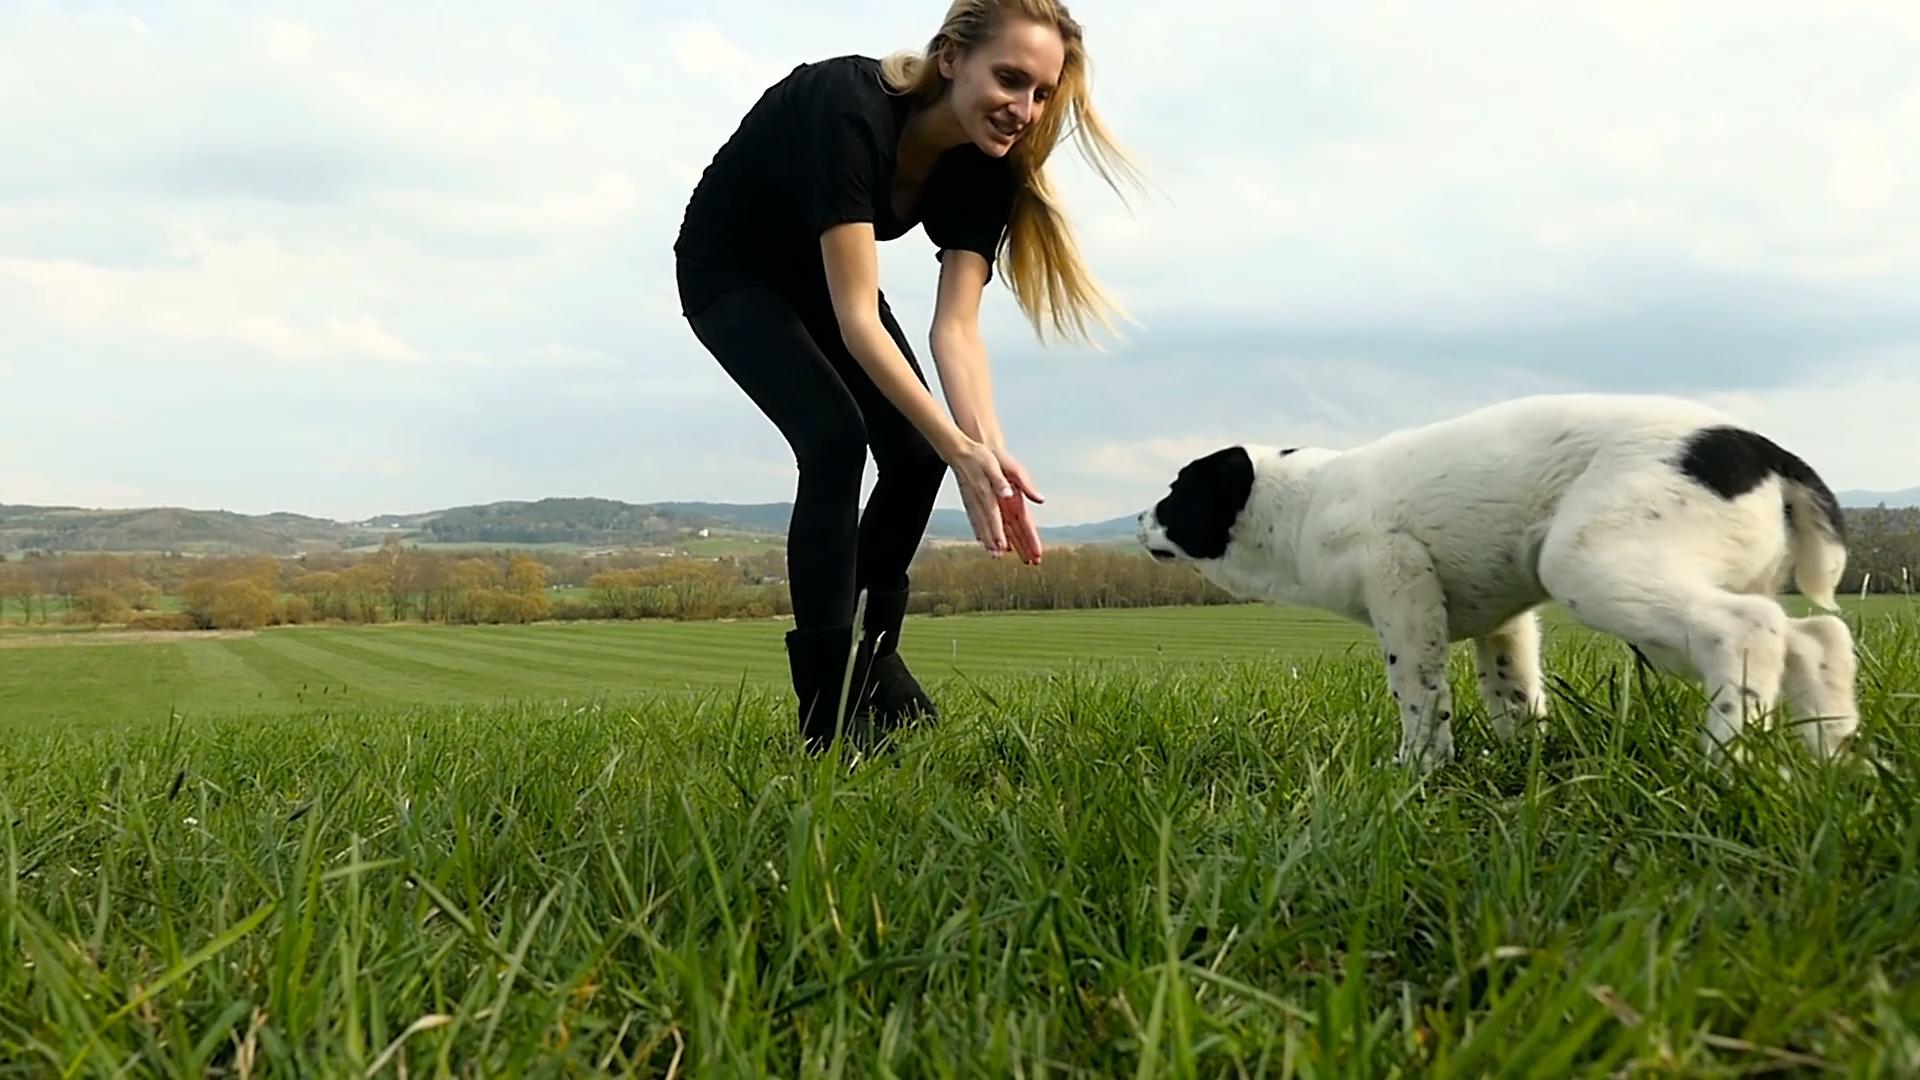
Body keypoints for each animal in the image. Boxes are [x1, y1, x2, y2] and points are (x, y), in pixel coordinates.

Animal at [1136, 390, 1858, 768]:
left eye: (1174, 494)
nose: (1139, 519)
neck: (1303, 502)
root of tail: (1768, 454)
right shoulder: (1505, 624)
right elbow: (1514, 694)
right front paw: (1523, 763)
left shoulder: (1401, 583)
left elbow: (1419, 693)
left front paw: (1420, 767)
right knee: (1816, 638)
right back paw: (1831, 758)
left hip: (1593, 567)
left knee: (1751, 631)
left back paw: (1723, 759)